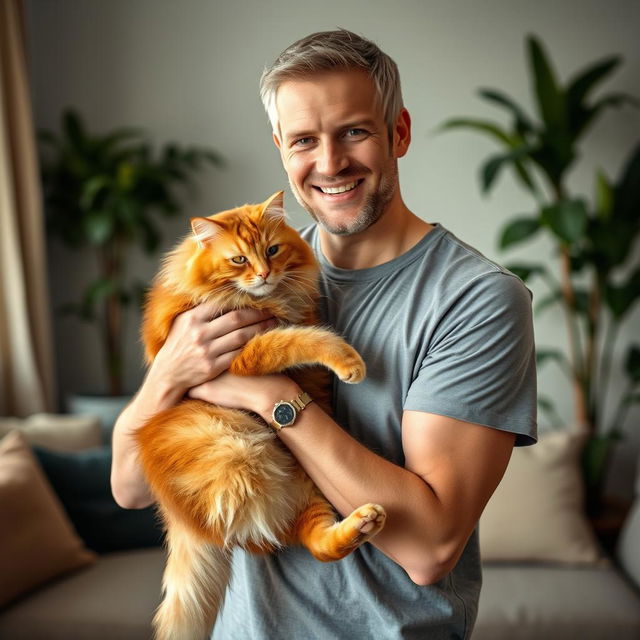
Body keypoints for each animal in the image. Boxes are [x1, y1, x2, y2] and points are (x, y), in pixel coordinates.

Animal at [136, 191, 384, 640]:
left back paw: (364, 523)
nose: (265, 274)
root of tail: (182, 519)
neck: (263, 301)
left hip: (308, 488)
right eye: (239, 260)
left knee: (320, 545)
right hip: (238, 456)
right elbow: (298, 339)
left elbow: (300, 330)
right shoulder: (242, 355)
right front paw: (347, 360)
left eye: (272, 251)